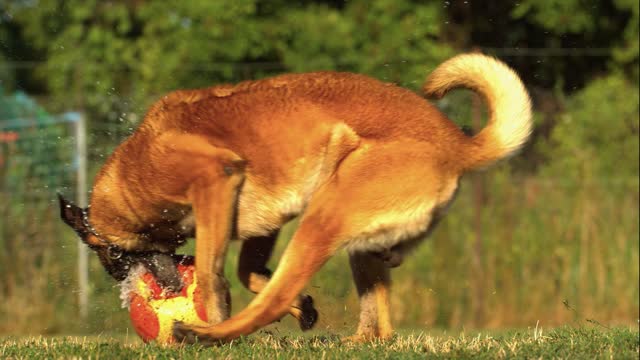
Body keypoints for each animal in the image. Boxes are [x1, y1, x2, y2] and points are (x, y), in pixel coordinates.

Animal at [58, 52, 528, 344]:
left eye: (111, 255)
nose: (122, 283)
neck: (135, 167)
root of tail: (459, 144)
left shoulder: (216, 181)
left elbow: (213, 276)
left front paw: (216, 315)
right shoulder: (264, 221)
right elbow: (248, 271)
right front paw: (305, 310)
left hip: (324, 216)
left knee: (275, 300)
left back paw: (208, 336)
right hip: (352, 233)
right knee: (377, 318)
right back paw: (356, 341)